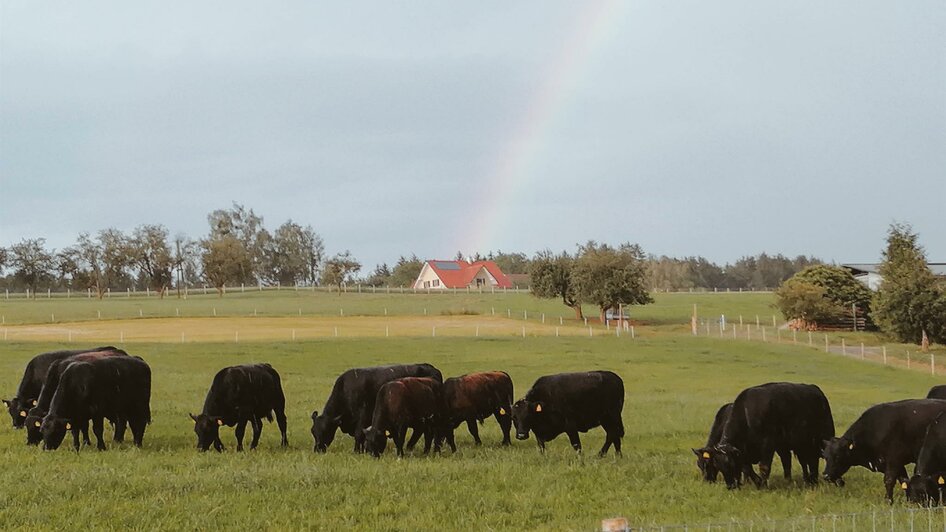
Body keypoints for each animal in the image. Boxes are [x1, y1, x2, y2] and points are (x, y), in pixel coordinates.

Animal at [310, 366, 442, 454]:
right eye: (313, 432)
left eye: (325, 430)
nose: (317, 449)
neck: (346, 389)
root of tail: (432, 368)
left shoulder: (363, 416)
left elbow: (358, 434)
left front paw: (357, 451)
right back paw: (410, 447)